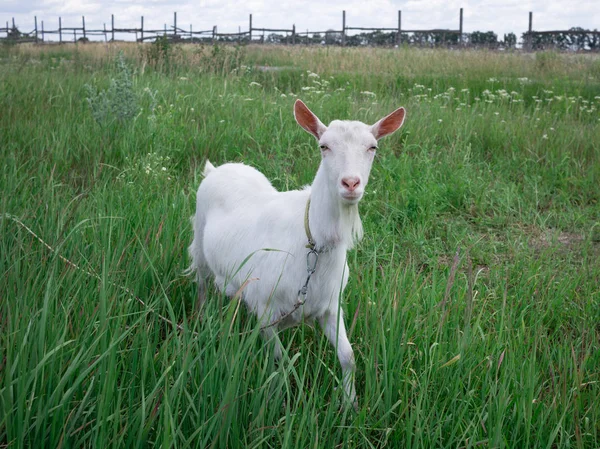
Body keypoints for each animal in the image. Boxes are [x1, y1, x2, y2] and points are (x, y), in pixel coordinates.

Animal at [190, 100, 406, 408]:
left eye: (372, 147)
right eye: (323, 146)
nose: (351, 183)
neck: (313, 245)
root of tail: (216, 169)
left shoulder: (330, 306)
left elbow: (348, 356)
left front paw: (350, 405)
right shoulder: (266, 309)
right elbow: (281, 360)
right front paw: (285, 399)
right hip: (199, 244)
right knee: (202, 285)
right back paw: (201, 319)